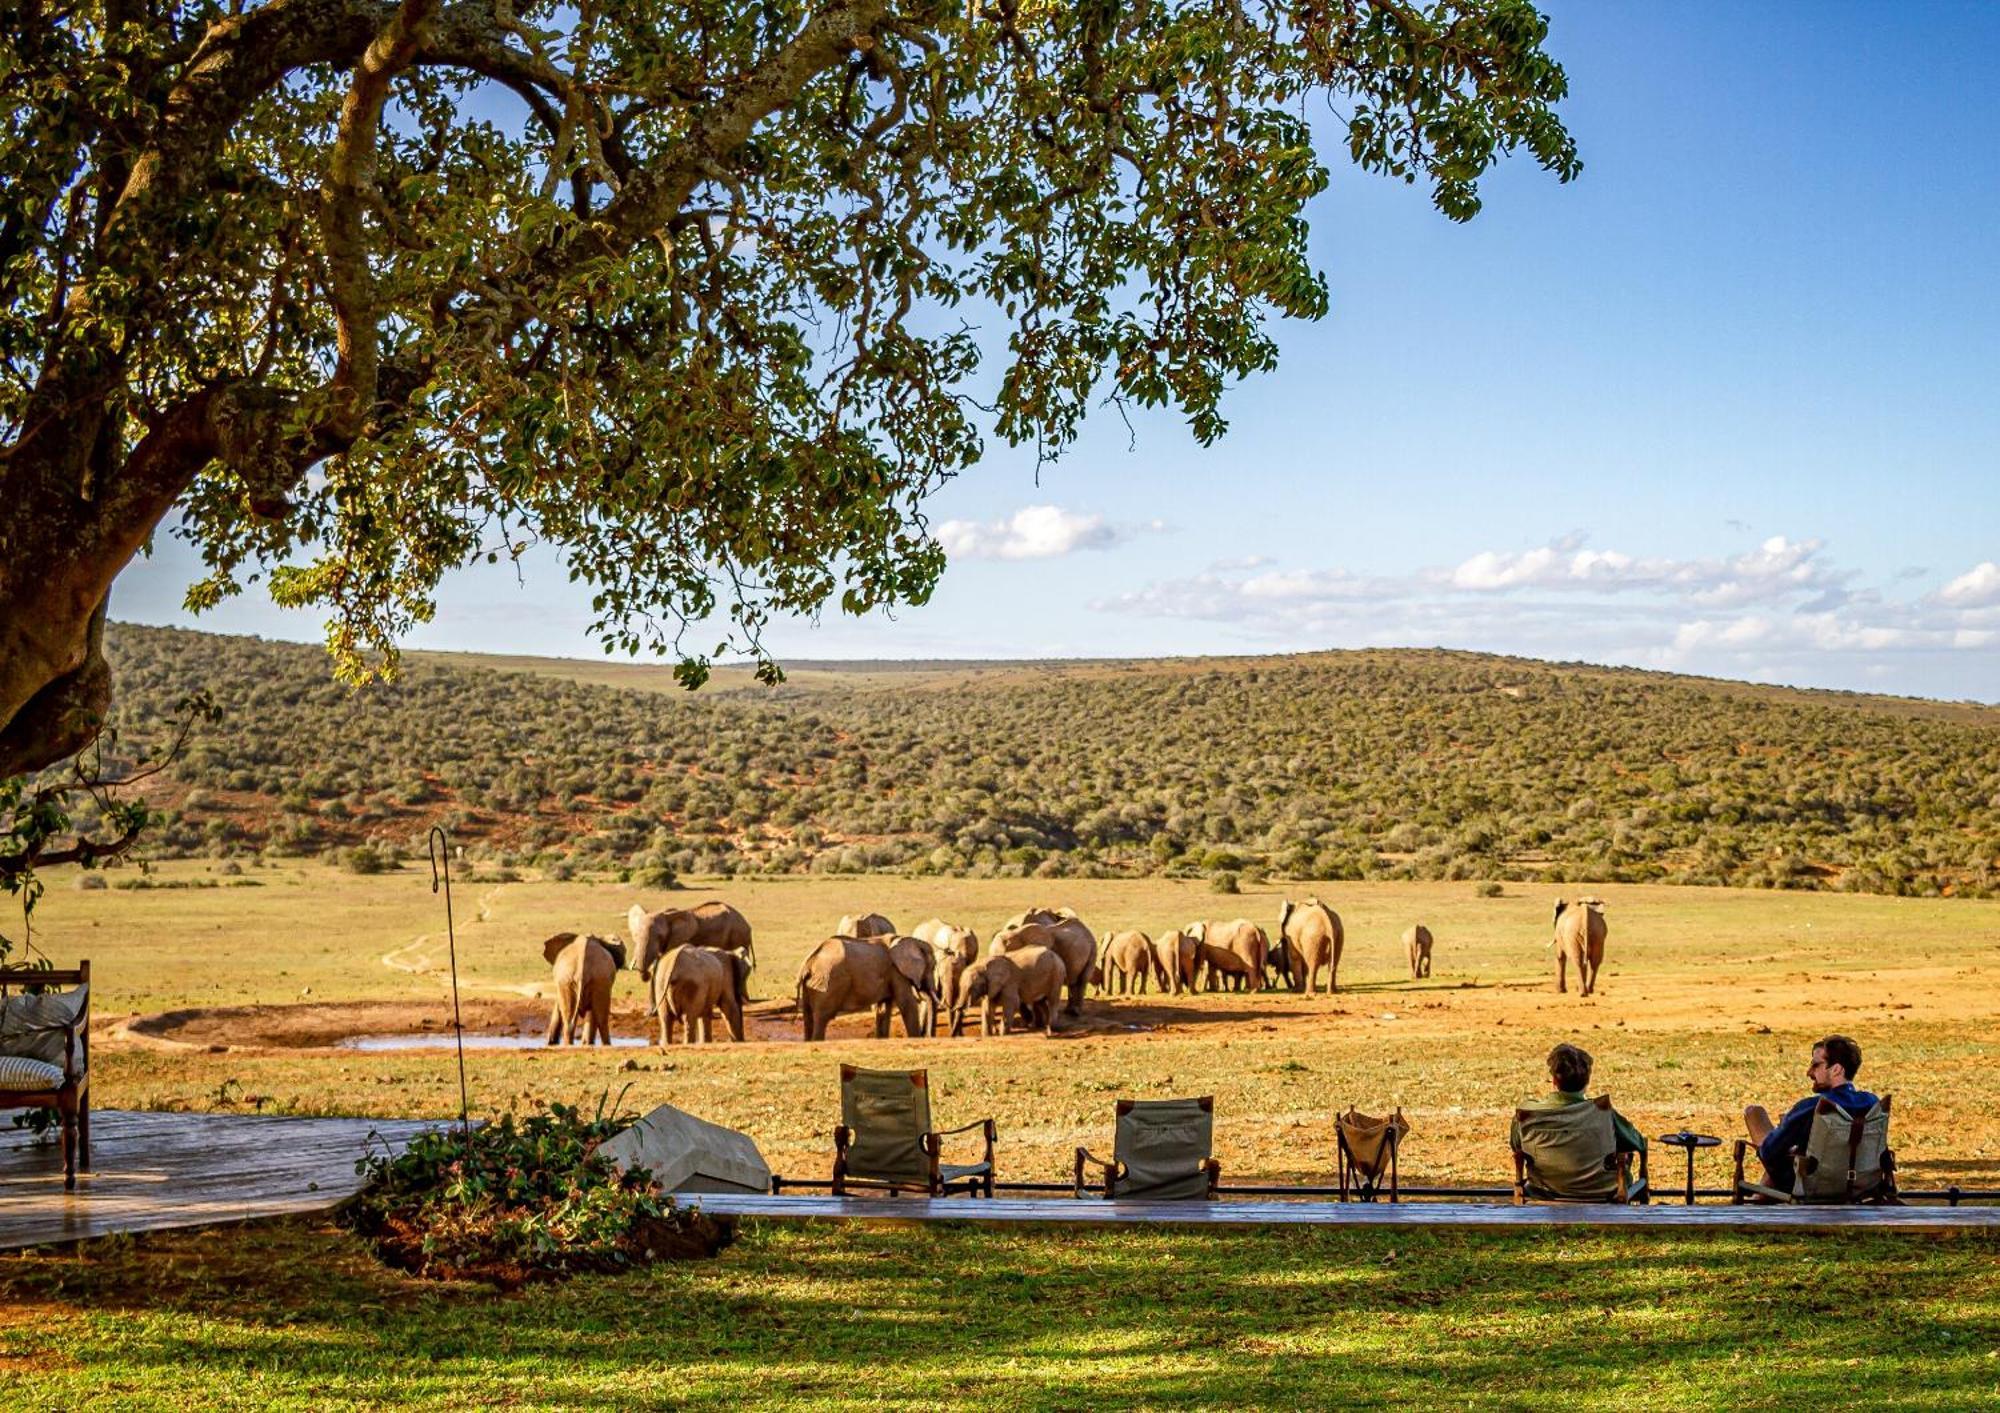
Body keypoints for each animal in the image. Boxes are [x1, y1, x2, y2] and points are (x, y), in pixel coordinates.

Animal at [792, 936, 924, 1032]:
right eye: (928, 969)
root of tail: (808, 963)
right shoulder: (897, 972)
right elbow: (907, 1004)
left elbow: (883, 1009)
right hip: (827, 983)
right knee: (822, 1017)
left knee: (809, 1018)